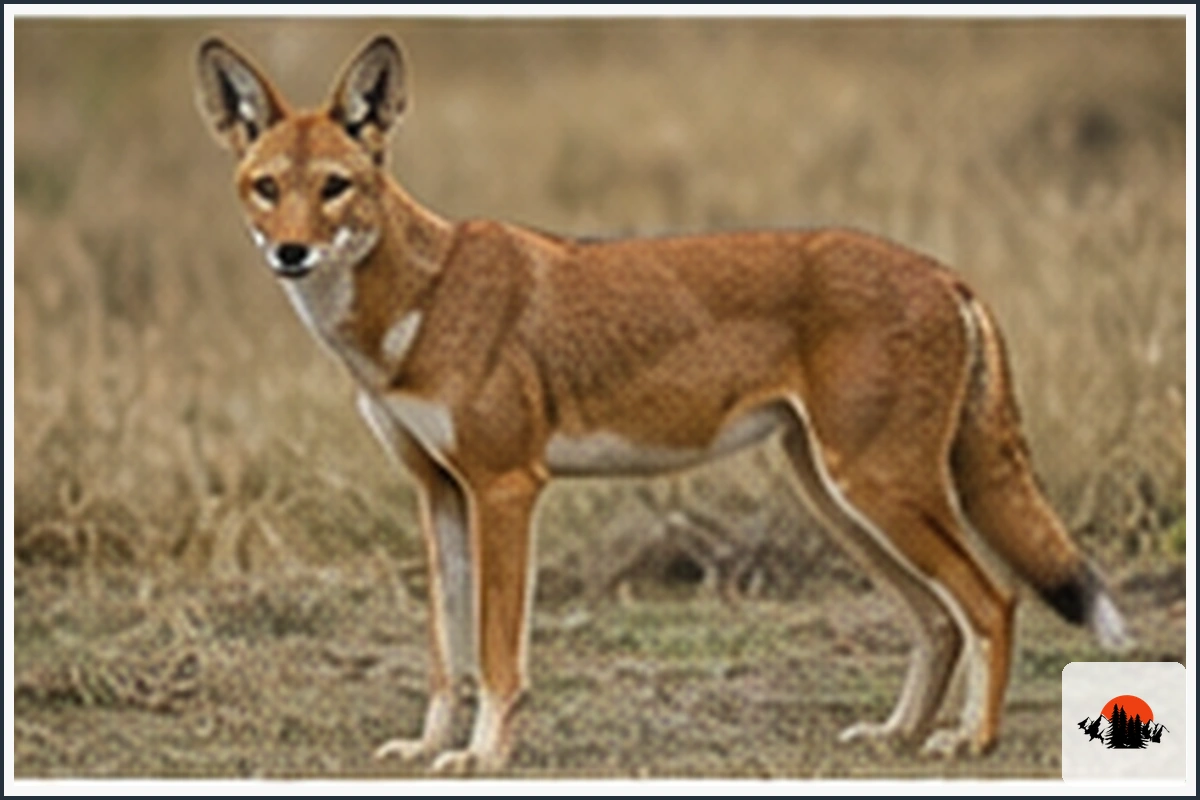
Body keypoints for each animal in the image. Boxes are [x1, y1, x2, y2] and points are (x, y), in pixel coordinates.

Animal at [195, 34, 1130, 774]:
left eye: (336, 187)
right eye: (268, 187)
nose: (289, 253)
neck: (416, 307)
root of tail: (947, 272)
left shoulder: (506, 489)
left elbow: (496, 655)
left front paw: (484, 755)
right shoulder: (439, 496)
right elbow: (444, 655)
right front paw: (429, 746)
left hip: (876, 492)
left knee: (991, 602)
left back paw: (971, 741)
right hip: (838, 500)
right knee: (939, 621)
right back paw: (896, 735)